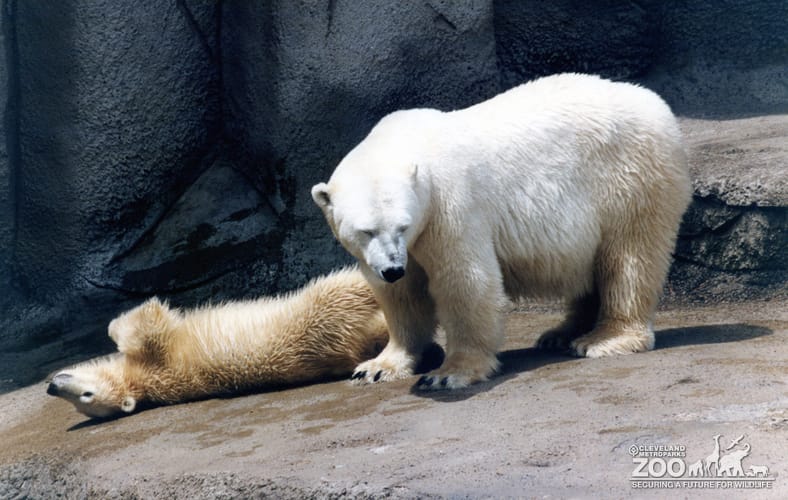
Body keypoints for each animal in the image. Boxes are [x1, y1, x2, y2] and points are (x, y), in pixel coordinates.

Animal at [46, 268, 389, 418]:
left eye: (85, 396)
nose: (52, 387)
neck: (140, 381)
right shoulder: (161, 355)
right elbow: (151, 321)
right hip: (317, 320)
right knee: (343, 287)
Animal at [311, 73, 692, 391]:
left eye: (402, 225)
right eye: (365, 231)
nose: (392, 268)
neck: (405, 143)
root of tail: (657, 106)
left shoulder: (450, 206)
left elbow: (465, 281)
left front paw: (449, 374)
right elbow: (402, 295)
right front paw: (376, 367)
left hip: (630, 178)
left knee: (629, 258)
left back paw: (603, 339)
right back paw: (561, 333)